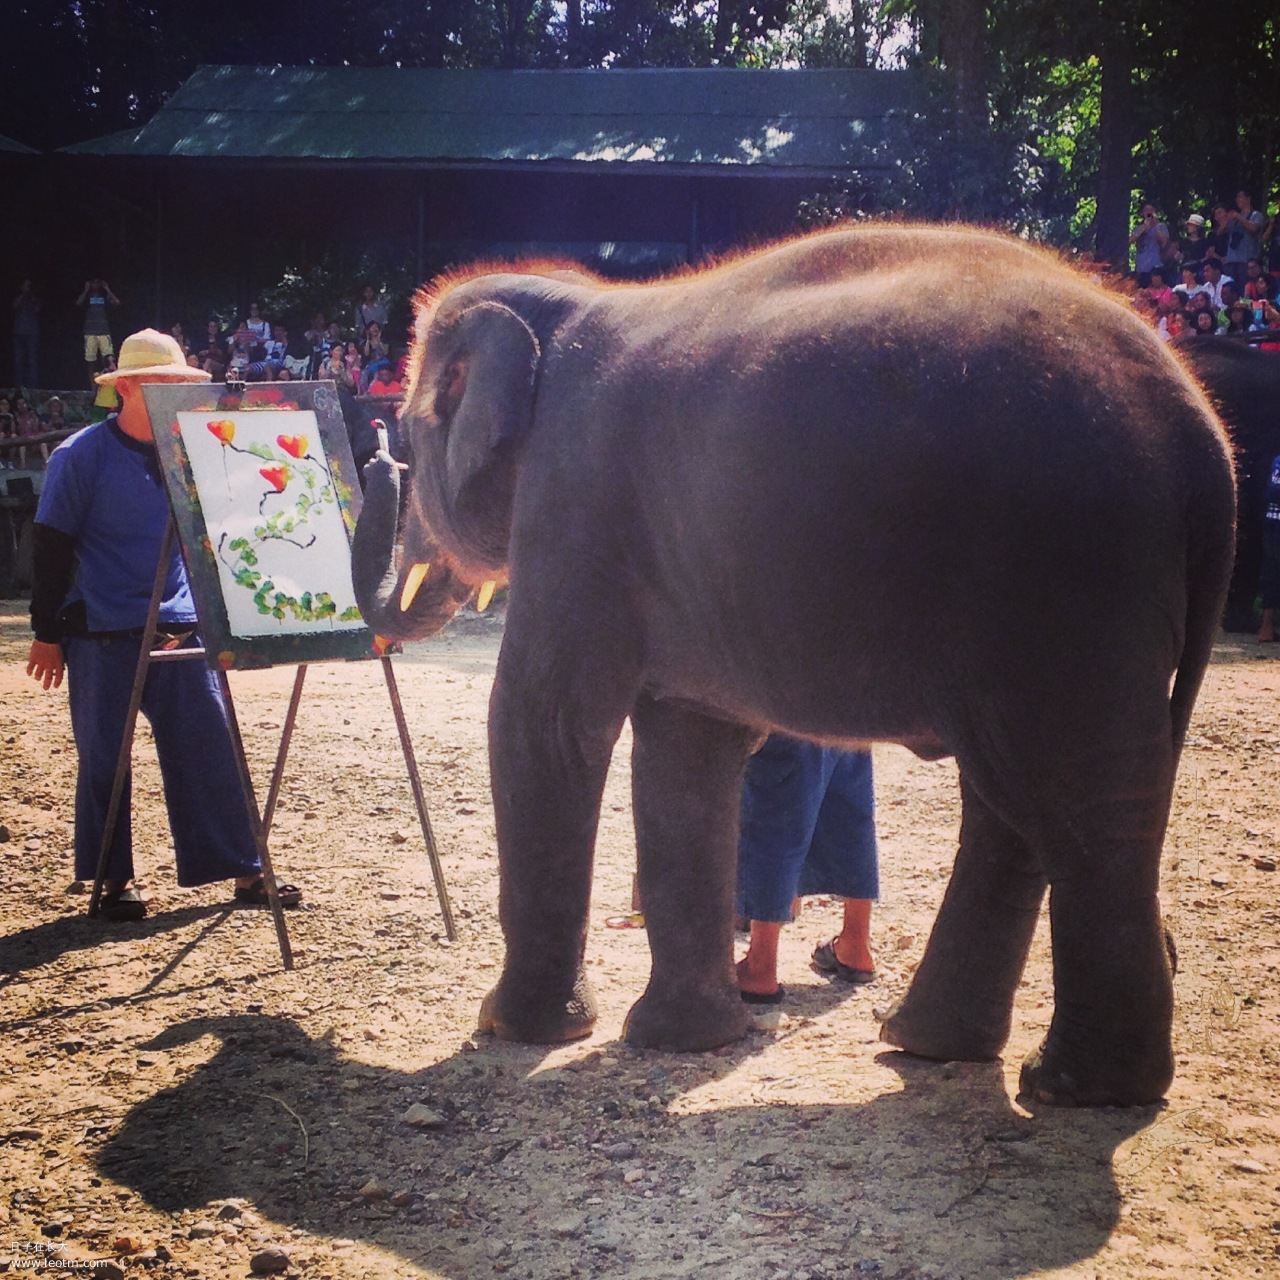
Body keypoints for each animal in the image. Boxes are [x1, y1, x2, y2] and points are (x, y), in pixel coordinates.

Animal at [352, 226, 1236, 1107]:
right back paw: (938, 1049)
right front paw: (686, 1041)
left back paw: (1073, 1088)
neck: (569, 299)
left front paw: (514, 1030)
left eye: (409, 434)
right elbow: (688, 747)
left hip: (1066, 577)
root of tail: (1203, 433)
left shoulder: (574, 505)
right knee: (1020, 801)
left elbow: (548, 725)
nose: (377, 464)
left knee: (1073, 797)